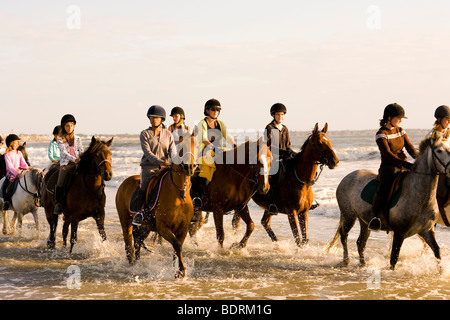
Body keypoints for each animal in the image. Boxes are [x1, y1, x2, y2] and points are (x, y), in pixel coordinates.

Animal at [115, 133, 196, 278]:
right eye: (181, 148)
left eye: (195, 145)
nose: (190, 167)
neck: (179, 193)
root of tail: (124, 183)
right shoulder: (163, 227)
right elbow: (177, 245)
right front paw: (181, 271)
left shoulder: (183, 228)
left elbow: (177, 247)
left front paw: (178, 270)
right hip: (125, 221)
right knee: (128, 243)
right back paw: (132, 265)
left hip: (145, 227)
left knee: (137, 241)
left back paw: (138, 263)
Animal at [326, 136, 450, 270]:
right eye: (439, 151)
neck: (420, 197)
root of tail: (346, 177)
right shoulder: (399, 233)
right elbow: (393, 259)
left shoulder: (427, 231)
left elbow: (437, 251)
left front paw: (441, 272)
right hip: (349, 215)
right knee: (344, 236)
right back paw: (346, 261)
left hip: (364, 222)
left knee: (360, 242)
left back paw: (362, 264)